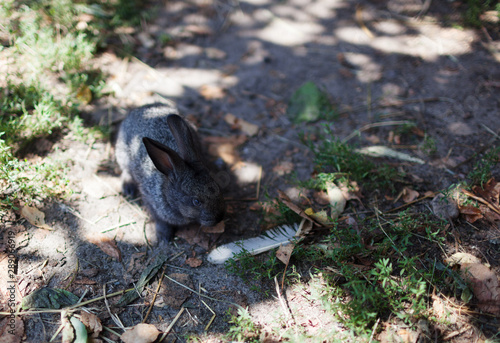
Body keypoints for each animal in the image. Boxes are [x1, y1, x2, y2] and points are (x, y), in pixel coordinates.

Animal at [116, 103, 226, 241]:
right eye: (196, 201)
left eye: (218, 188)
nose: (219, 217)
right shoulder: (151, 202)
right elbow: (160, 220)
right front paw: (164, 236)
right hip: (123, 156)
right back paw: (128, 188)